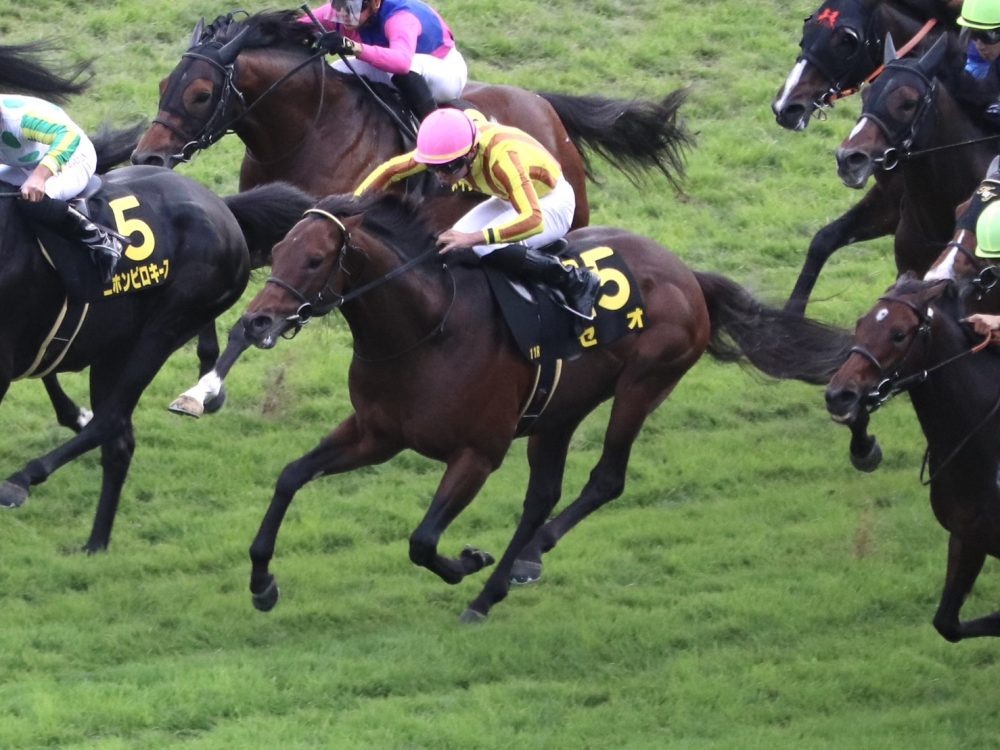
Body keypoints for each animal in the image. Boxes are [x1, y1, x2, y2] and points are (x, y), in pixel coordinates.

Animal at [0, 166, 314, 552]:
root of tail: (223, 206)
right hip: (114, 346)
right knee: (118, 441)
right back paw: (95, 544)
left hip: (165, 327)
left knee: (112, 420)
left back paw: (22, 480)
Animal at [129, 10, 694, 416]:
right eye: (162, 84)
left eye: (201, 93)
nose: (148, 158)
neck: (310, 127)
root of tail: (542, 103)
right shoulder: (281, 231)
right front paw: (205, 374)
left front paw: (205, 387)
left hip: (565, 214)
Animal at [234, 191, 852, 622]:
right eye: (279, 250)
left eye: (315, 259)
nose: (257, 321)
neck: (428, 328)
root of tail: (688, 275)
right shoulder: (376, 433)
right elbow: (291, 476)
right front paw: (261, 583)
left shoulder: (477, 453)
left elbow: (423, 541)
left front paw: (468, 562)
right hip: (559, 412)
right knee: (542, 496)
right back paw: (510, 574)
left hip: (644, 384)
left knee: (605, 480)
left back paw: (508, 572)